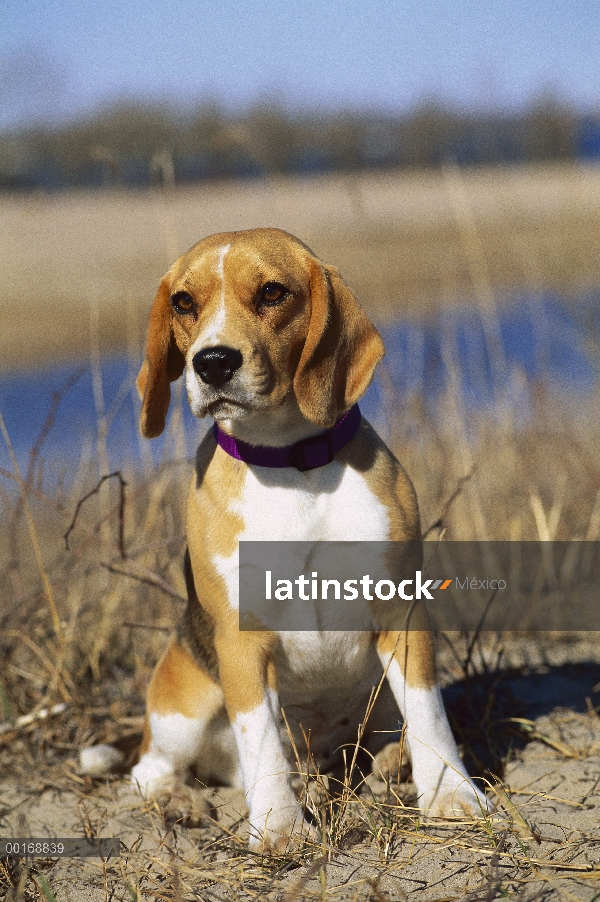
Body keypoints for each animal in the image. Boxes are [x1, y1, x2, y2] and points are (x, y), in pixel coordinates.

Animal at [129, 230, 486, 852]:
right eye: (183, 302)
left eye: (273, 292)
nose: (212, 362)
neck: (291, 465)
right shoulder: (241, 642)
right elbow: (261, 738)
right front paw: (276, 826)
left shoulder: (402, 614)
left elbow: (429, 712)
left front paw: (450, 793)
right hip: (185, 706)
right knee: (151, 766)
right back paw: (180, 800)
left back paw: (391, 765)